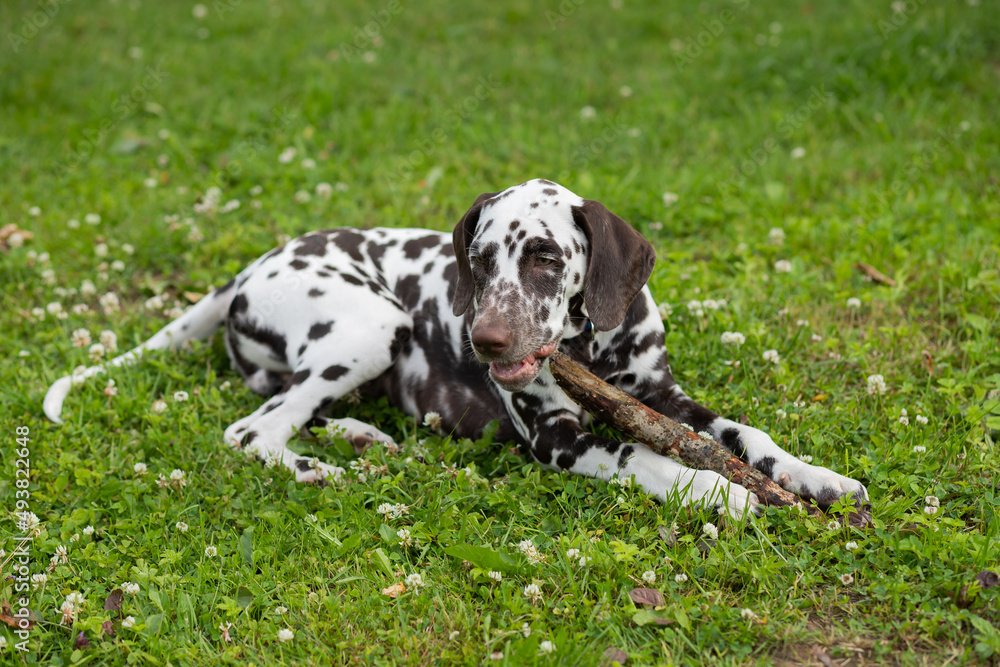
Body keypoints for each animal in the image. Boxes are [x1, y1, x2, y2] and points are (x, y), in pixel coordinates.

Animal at [43, 180, 864, 520]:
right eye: (478, 256)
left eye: (543, 255)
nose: (485, 338)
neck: (592, 349)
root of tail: (246, 270)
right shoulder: (560, 440)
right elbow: (648, 457)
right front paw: (717, 490)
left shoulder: (662, 396)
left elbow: (747, 433)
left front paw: (814, 476)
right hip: (372, 326)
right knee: (254, 431)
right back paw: (320, 469)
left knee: (291, 407)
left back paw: (356, 437)